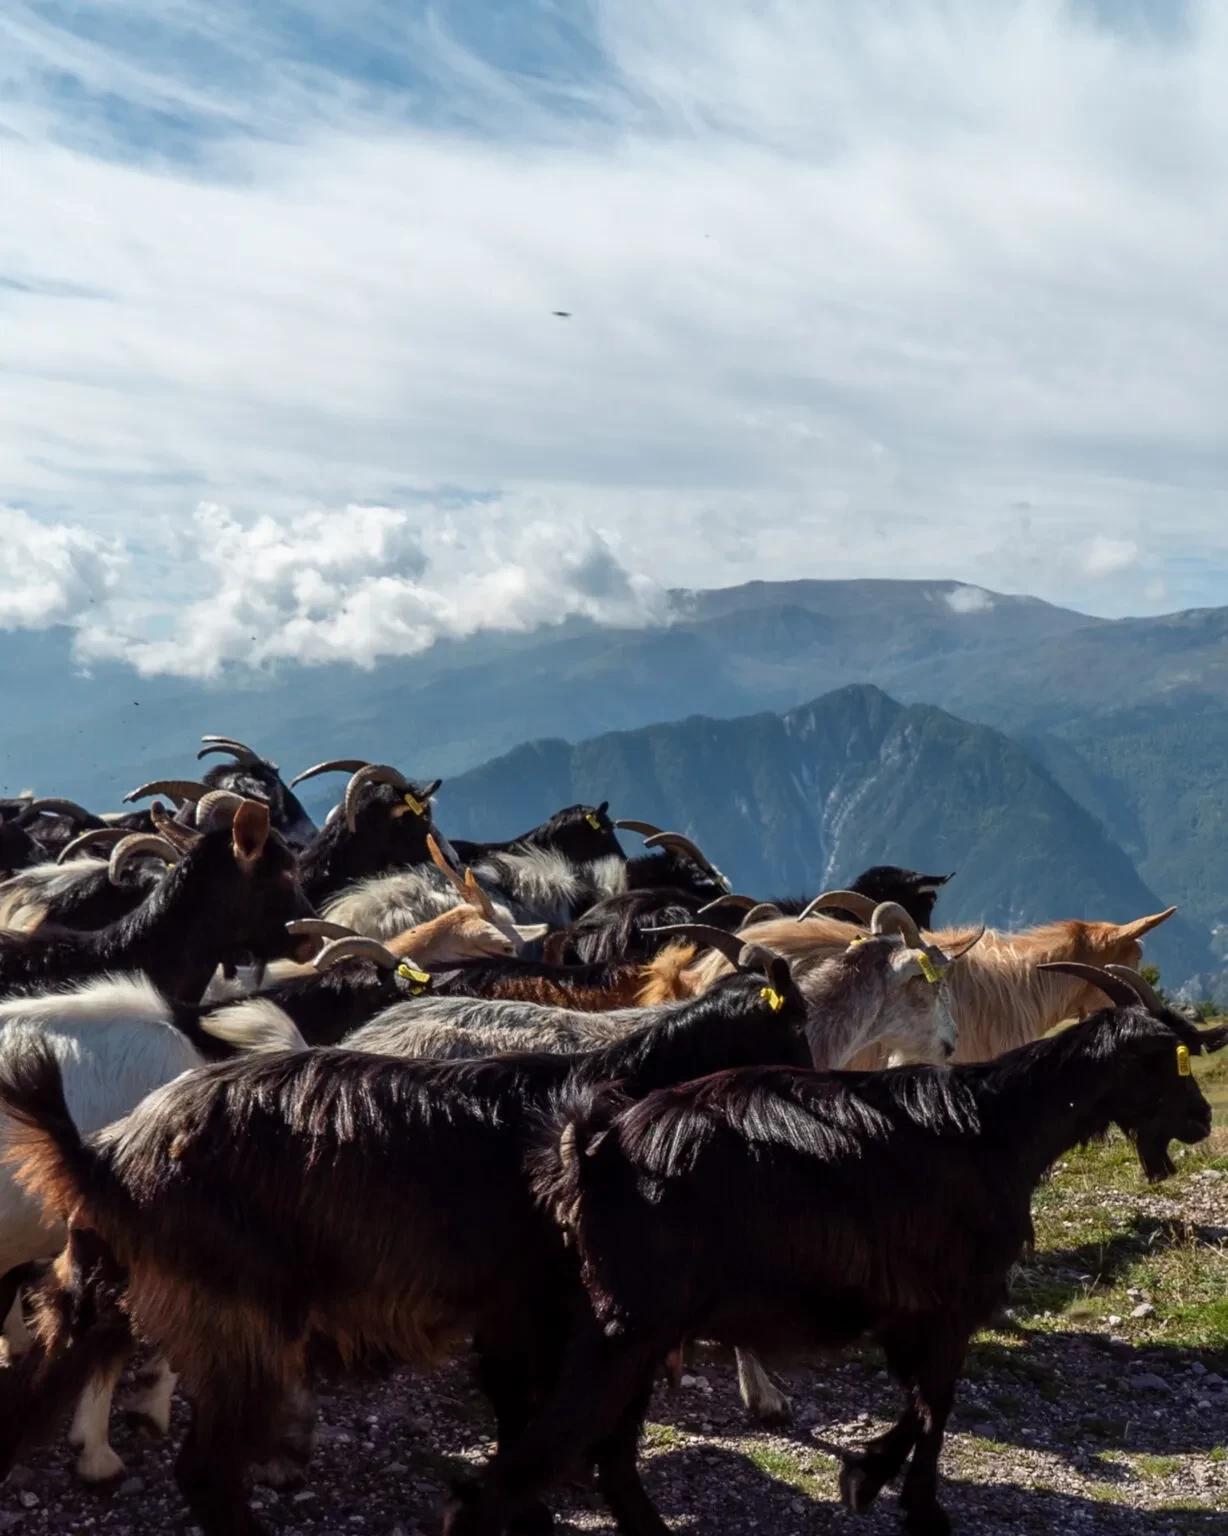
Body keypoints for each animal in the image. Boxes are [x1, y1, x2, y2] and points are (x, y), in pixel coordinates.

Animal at [0, 952, 805, 1529]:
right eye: (797, 1030)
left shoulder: (520, 1314)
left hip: (94, 1298)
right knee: (204, 1471)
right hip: (236, 1322)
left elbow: (525, 1419)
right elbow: (586, 1433)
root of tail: (106, 1157)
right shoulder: (583, 1317)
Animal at [454, 964, 1223, 1536]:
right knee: (521, 1473)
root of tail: (595, 1148)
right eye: (1169, 1061)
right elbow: (934, 1406)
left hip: (634, 1336)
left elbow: (918, 1403)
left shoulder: (910, 1312)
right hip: (625, 1331)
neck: (997, 1126)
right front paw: (908, 1501)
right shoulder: (949, 1304)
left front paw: (871, 1478)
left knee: (606, 1458)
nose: (1201, 1119)